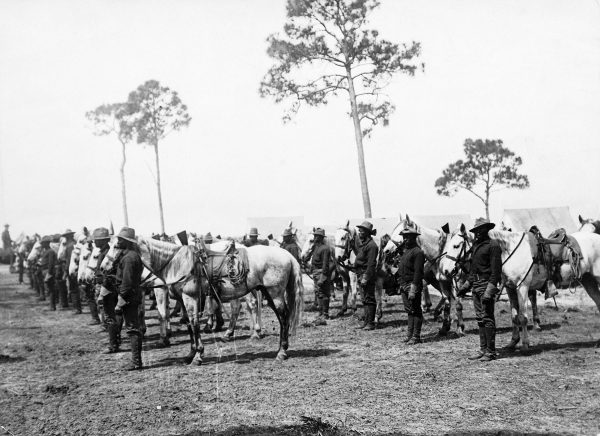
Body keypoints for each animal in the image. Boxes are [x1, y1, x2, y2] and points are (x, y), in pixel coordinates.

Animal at [101, 237, 304, 362]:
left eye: (117, 245)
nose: (102, 268)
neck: (176, 263)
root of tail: (288, 255)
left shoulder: (190, 298)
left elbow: (194, 323)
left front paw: (198, 355)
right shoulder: (182, 299)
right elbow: (189, 325)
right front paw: (190, 354)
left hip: (275, 293)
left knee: (283, 318)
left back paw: (281, 351)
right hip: (267, 293)